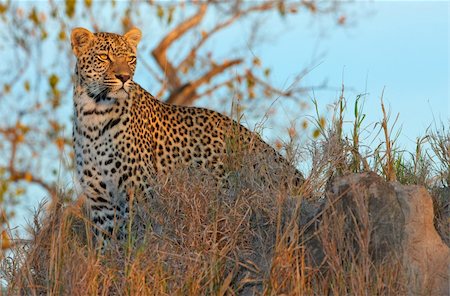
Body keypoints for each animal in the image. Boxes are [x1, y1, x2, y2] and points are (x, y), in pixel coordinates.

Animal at [70, 27, 304, 245]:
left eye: (130, 59)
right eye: (104, 57)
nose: (124, 77)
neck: (94, 113)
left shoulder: (140, 191)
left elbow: (137, 238)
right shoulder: (100, 201)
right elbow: (106, 245)